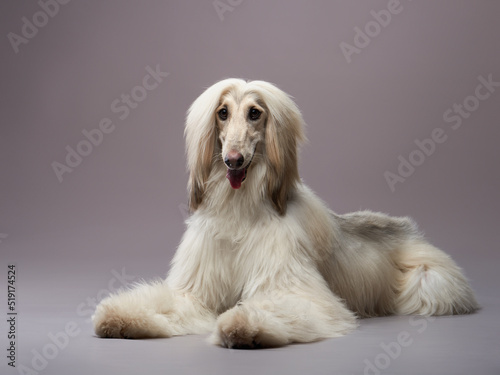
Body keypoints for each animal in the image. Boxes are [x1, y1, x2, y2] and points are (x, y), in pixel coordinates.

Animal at [92, 78, 478, 348]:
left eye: (254, 113)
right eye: (222, 112)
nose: (233, 160)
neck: (240, 209)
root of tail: (404, 225)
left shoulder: (291, 286)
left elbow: (281, 305)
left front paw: (241, 325)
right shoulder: (197, 293)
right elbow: (167, 301)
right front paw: (119, 316)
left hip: (428, 278)